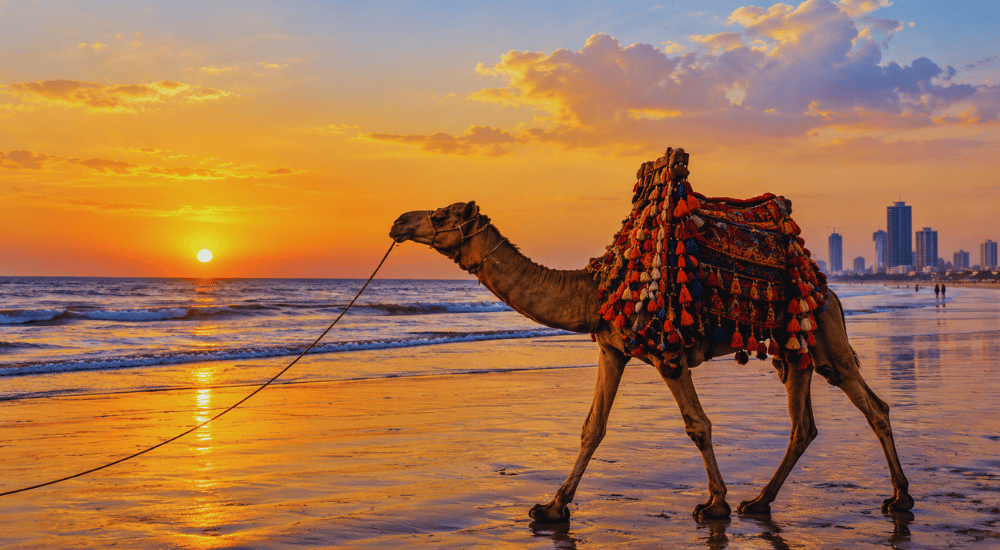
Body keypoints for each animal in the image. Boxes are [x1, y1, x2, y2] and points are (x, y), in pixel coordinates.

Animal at [387, 151, 913, 523]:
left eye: (441, 215)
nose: (397, 221)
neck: (599, 288)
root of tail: (829, 291)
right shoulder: (611, 348)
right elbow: (592, 427)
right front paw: (552, 508)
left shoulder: (668, 355)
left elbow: (698, 425)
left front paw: (714, 504)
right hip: (797, 351)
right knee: (805, 424)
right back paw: (762, 501)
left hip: (825, 338)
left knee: (871, 407)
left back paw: (899, 497)